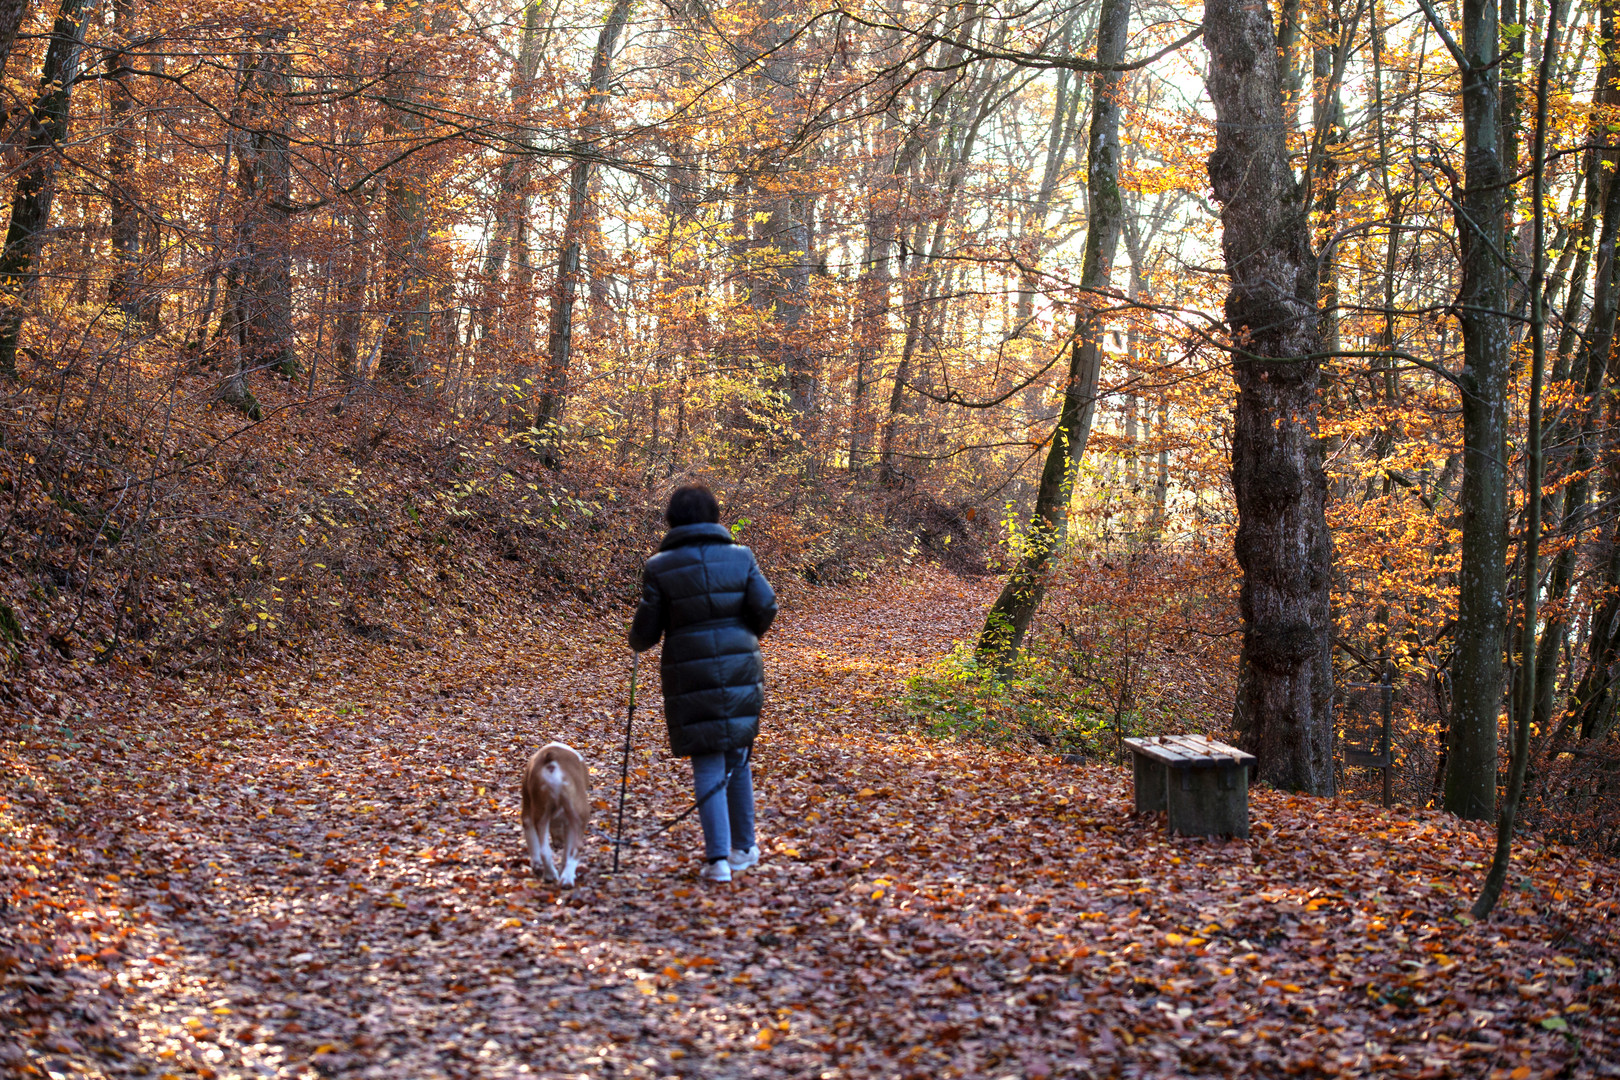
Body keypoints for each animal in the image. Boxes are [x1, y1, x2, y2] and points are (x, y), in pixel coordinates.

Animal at [521, 744, 592, 887]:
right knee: (576, 847)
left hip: (541, 813)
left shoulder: (528, 816)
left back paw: (551, 875)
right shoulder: (570, 824)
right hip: (581, 815)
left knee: (544, 850)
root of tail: (552, 756)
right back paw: (567, 878)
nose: (559, 844)